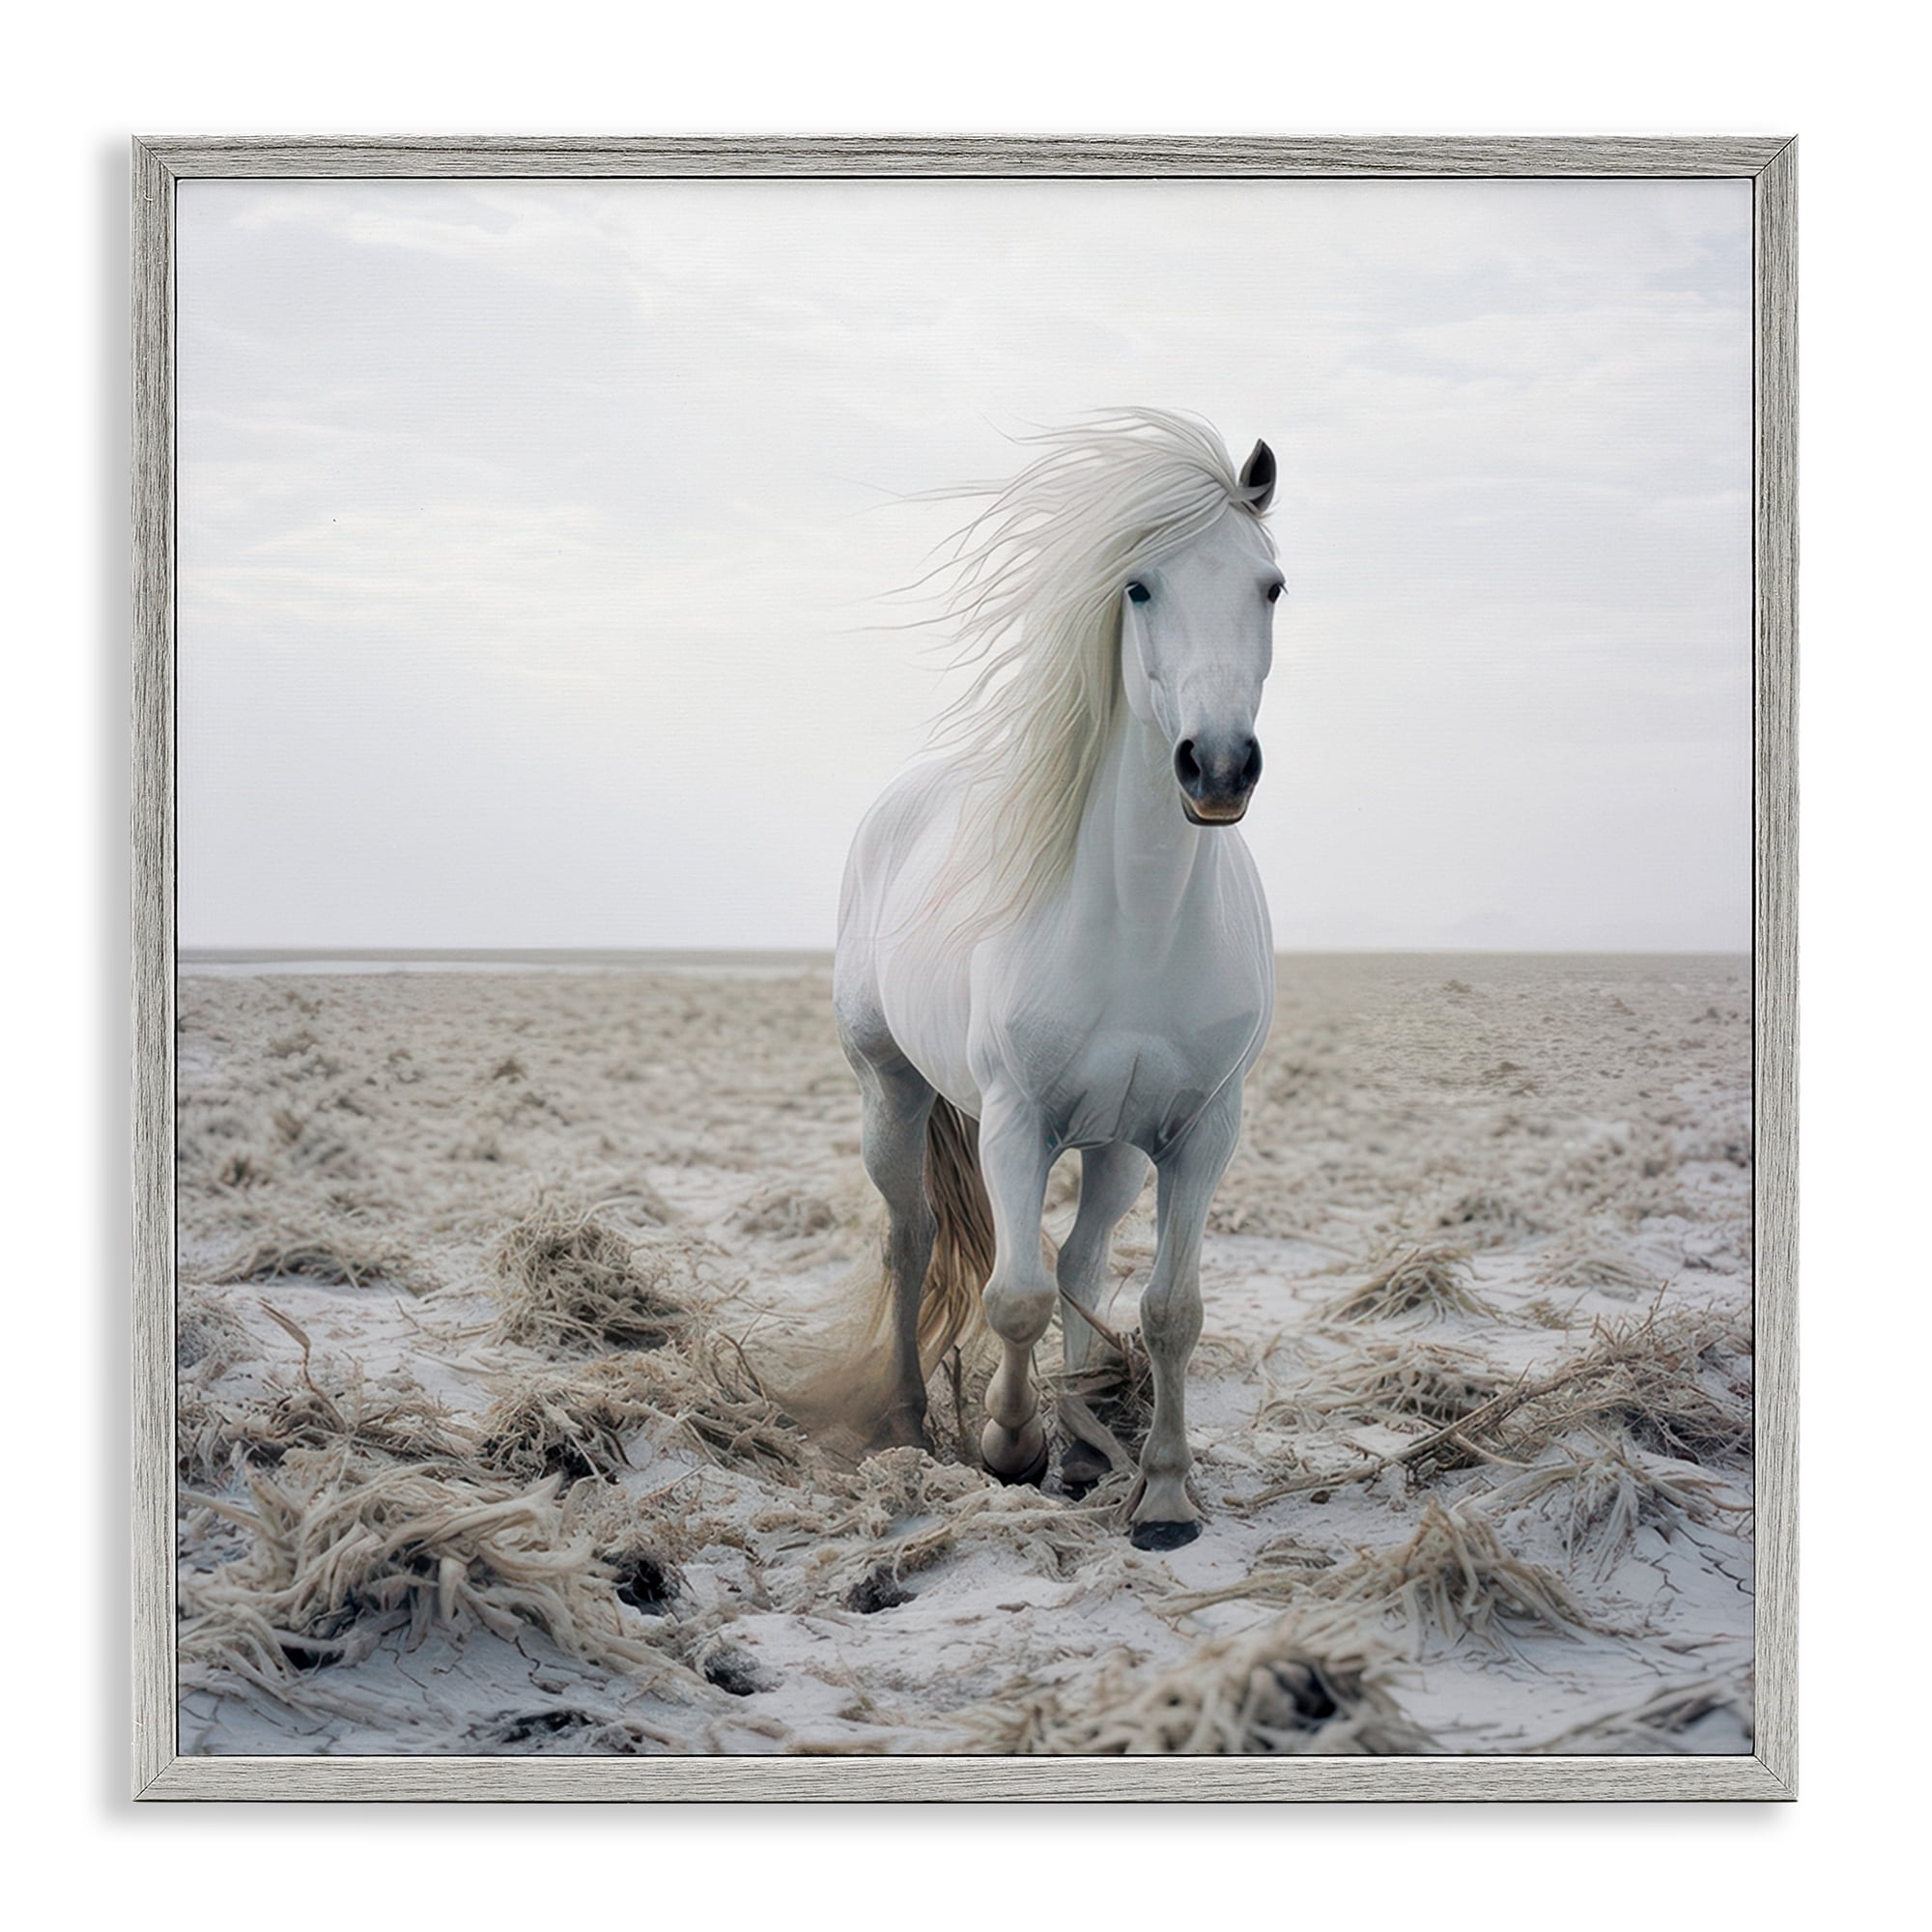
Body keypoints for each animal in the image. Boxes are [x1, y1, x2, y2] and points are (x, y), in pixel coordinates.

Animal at [832, 409, 1281, 1550]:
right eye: (1138, 587)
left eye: (1270, 585)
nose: (1218, 766)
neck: (1140, 919)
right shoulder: (1014, 1118)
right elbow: (1014, 1294)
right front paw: (1007, 1445)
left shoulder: (1201, 1130)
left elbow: (1169, 1308)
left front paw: (1160, 1491)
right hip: (892, 1091)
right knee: (913, 1243)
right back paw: (914, 1420)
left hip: (1117, 1142)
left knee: (1080, 1260)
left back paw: (1082, 1446)